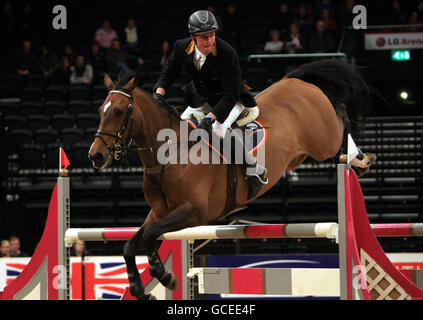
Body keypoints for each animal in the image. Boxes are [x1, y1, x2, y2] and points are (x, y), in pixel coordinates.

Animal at [88, 58, 378, 300]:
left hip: (322, 143)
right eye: (101, 110)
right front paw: (142, 288)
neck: (169, 156)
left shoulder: (194, 213)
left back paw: (360, 158)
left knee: (340, 121)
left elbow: (148, 236)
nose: (96, 156)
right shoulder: (159, 213)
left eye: (119, 111)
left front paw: (165, 276)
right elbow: (132, 243)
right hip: (301, 154)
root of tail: (296, 80)